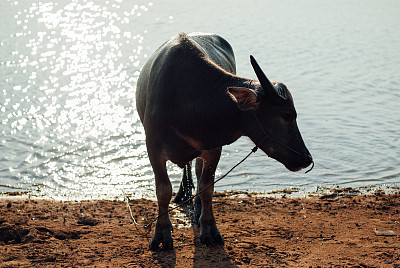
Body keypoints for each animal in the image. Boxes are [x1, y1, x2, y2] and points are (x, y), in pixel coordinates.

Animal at [135, 32, 312, 250]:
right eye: (287, 115)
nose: (306, 158)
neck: (187, 99)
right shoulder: (153, 148)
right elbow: (163, 190)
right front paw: (161, 235)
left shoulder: (213, 147)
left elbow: (207, 188)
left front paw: (209, 230)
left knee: (197, 171)